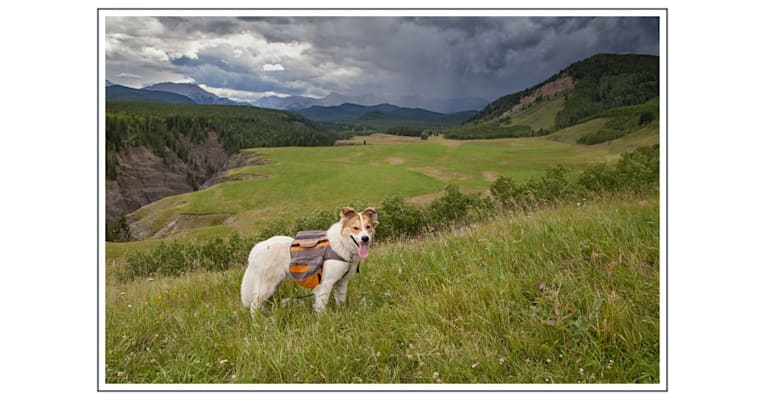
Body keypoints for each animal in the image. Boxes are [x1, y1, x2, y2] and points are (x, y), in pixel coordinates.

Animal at [242, 208, 380, 314]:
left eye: (368, 227)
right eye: (355, 228)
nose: (365, 238)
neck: (342, 244)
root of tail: (257, 248)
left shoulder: (342, 283)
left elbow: (341, 302)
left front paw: (343, 313)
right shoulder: (325, 284)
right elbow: (321, 307)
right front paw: (323, 321)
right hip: (267, 286)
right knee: (254, 306)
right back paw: (258, 324)